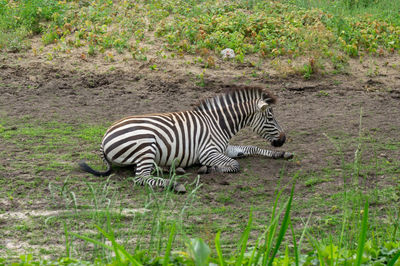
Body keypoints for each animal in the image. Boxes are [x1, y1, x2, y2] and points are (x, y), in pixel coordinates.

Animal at [79, 86, 294, 192]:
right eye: (270, 118)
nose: (283, 139)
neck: (218, 123)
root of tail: (104, 137)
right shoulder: (208, 152)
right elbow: (234, 164)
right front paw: (209, 168)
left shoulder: (222, 148)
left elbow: (251, 148)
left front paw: (281, 153)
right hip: (146, 145)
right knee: (141, 177)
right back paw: (175, 184)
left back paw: (172, 168)